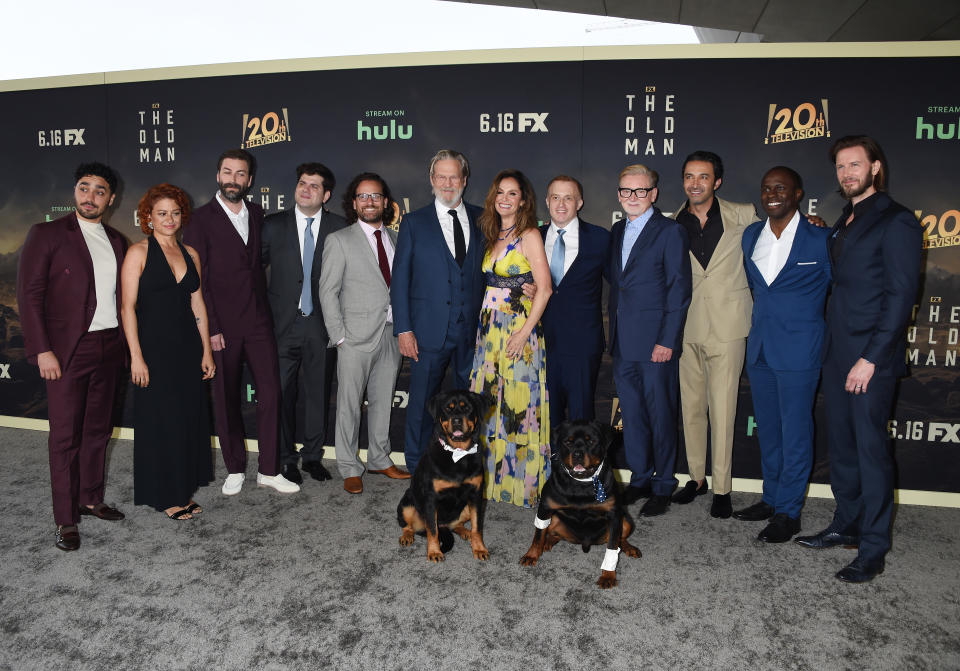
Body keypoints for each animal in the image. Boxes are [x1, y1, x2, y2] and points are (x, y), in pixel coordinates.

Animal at [398, 392, 492, 564]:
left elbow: (477, 527)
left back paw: (465, 532)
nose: (456, 420)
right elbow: (432, 530)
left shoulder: (476, 495)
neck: (458, 454)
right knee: (410, 525)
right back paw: (407, 536)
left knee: (455, 525)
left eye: (467, 408)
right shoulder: (431, 498)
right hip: (407, 503)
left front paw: (479, 548)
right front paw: (434, 552)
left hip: (467, 507)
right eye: (448, 409)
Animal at [520, 420, 640, 588]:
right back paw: (547, 542)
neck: (581, 484)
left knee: (620, 540)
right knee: (553, 533)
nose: (577, 454)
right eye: (568, 442)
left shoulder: (615, 515)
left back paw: (629, 548)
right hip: (554, 517)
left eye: (591, 441)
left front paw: (608, 576)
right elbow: (538, 535)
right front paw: (531, 555)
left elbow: (612, 546)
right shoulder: (545, 508)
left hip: (626, 520)